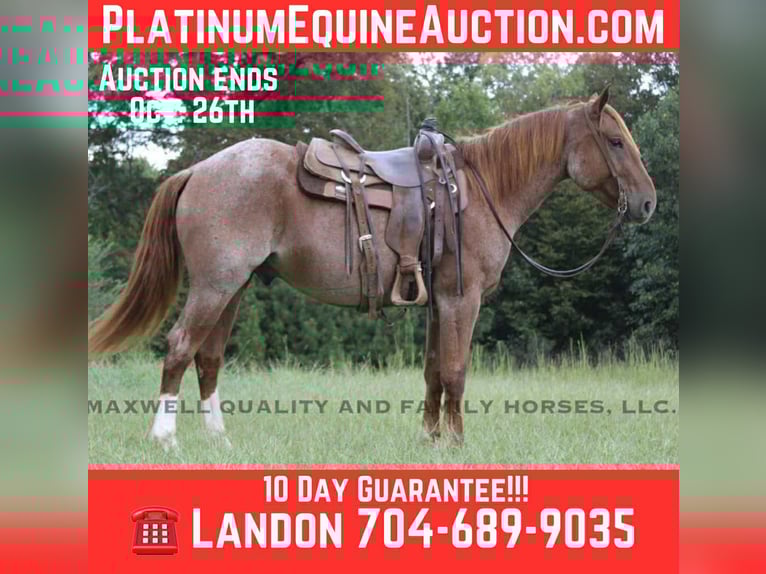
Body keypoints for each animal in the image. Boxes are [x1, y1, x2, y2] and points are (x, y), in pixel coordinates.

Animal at [88, 87, 656, 450]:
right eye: (614, 142)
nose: (648, 203)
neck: (478, 190)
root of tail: (197, 171)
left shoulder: (437, 302)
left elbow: (433, 371)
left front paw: (429, 439)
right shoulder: (462, 299)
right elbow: (456, 370)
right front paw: (456, 444)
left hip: (234, 288)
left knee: (207, 358)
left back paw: (218, 440)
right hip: (215, 286)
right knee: (180, 347)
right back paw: (164, 439)